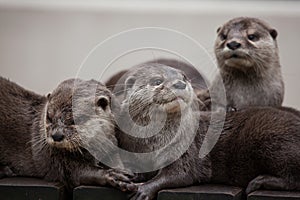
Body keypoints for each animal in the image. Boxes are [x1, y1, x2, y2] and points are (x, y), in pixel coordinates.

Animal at [0, 77, 135, 195]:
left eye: (75, 120)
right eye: (49, 117)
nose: (56, 135)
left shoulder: (111, 148)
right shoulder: (54, 158)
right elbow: (76, 174)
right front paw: (113, 176)